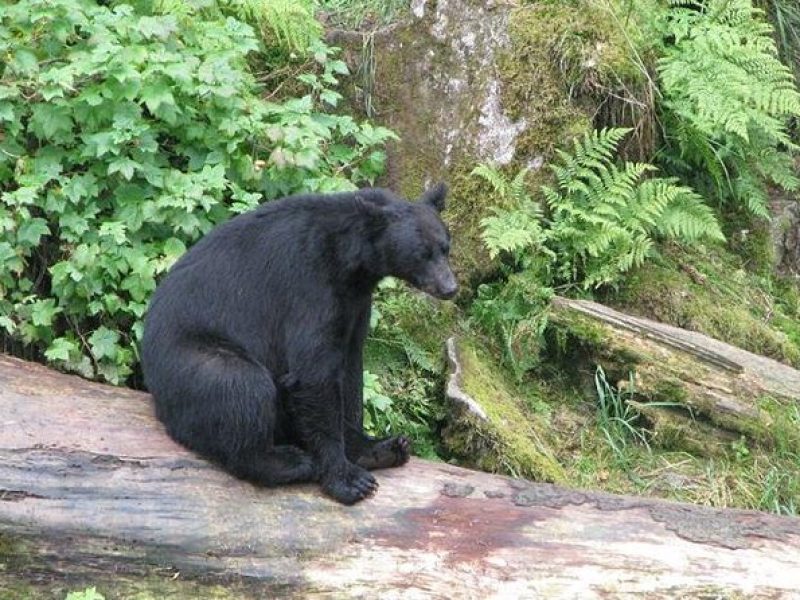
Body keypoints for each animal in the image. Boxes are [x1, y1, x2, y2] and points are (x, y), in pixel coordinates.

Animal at [141, 185, 460, 504]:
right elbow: (313, 372)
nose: (450, 288)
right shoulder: (309, 288)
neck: (349, 261)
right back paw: (291, 461)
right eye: (421, 254)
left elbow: (351, 371)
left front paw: (372, 449)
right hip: (195, 362)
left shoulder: (355, 303)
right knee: (243, 387)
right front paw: (349, 480)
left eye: (445, 247)